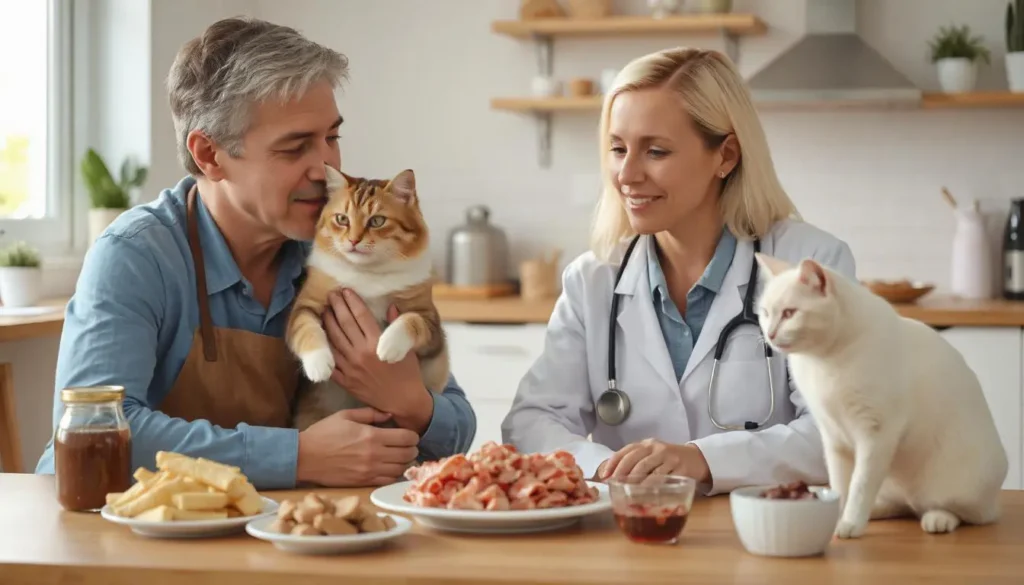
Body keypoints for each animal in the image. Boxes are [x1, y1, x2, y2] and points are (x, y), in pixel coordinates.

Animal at [286, 163, 450, 430]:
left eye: (377, 221)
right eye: (342, 219)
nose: (353, 240)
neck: (368, 273)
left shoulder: (431, 322)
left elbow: (410, 320)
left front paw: (387, 346)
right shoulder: (306, 304)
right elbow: (306, 329)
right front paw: (319, 365)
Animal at [753, 254, 1007, 536]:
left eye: (790, 313)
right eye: (765, 313)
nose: (770, 334)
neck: (822, 361)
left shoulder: (876, 435)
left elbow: (859, 486)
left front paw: (850, 523)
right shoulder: (833, 437)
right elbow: (841, 486)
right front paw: (836, 517)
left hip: (959, 488)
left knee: (968, 514)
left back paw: (937, 519)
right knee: (902, 506)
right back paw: (877, 512)